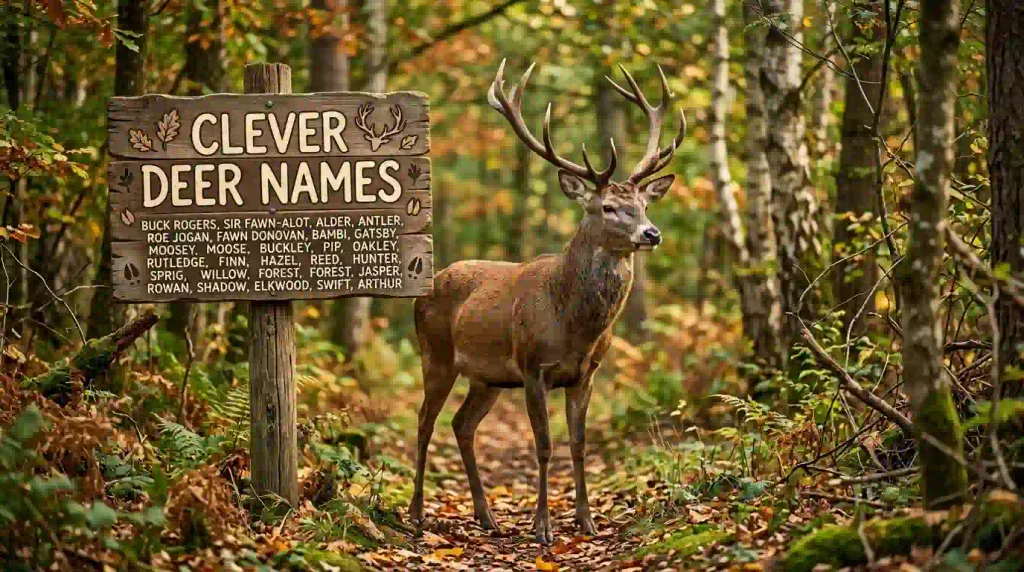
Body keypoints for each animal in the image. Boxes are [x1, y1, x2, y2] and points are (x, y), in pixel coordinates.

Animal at [408, 60, 685, 544]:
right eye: (608, 207)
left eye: (644, 205)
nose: (651, 234)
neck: (574, 325)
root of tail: (430, 284)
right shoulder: (533, 366)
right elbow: (543, 446)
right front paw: (542, 527)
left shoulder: (585, 374)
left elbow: (577, 445)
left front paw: (587, 520)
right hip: (435, 354)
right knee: (425, 422)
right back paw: (418, 513)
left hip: (488, 378)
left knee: (462, 424)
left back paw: (487, 516)